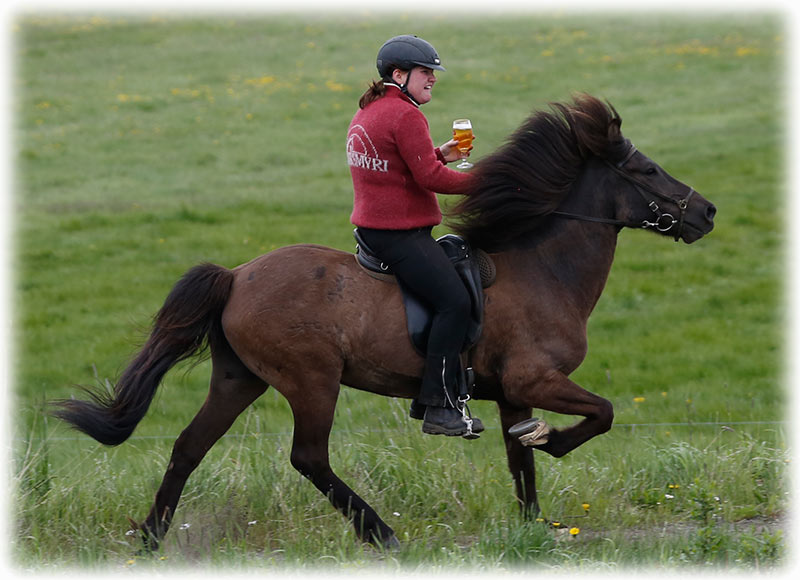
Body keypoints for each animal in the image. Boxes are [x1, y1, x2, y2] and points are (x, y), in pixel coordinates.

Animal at [54, 94, 720, 548]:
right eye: (647, 171)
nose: (707, 212)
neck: (543, 269)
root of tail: (237, 276)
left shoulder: (512, 392)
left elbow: (521, 462)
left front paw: (533, 528)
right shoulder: (534, 380)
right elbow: (601, 415)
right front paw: (554, 442)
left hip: (239, 379)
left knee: (190, 446)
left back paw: (151, 538)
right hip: (311, 380)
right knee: (308, 458)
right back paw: (380, 533)